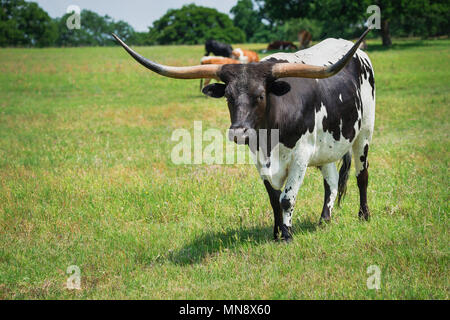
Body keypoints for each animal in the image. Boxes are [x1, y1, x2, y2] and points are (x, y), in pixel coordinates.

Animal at [113, 30, 376, 241]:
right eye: (228, 97)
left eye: (260, 95)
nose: (239, 132)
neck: (270, 137)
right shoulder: (260, 160)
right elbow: (274, 199)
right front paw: (276, 233)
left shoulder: (300, 155)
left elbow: (286, 199)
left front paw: (287, 235)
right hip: (326, 148)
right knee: (331, 182)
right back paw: (324, 220)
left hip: (364, 133)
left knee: (361, 175)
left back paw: (364, 215)